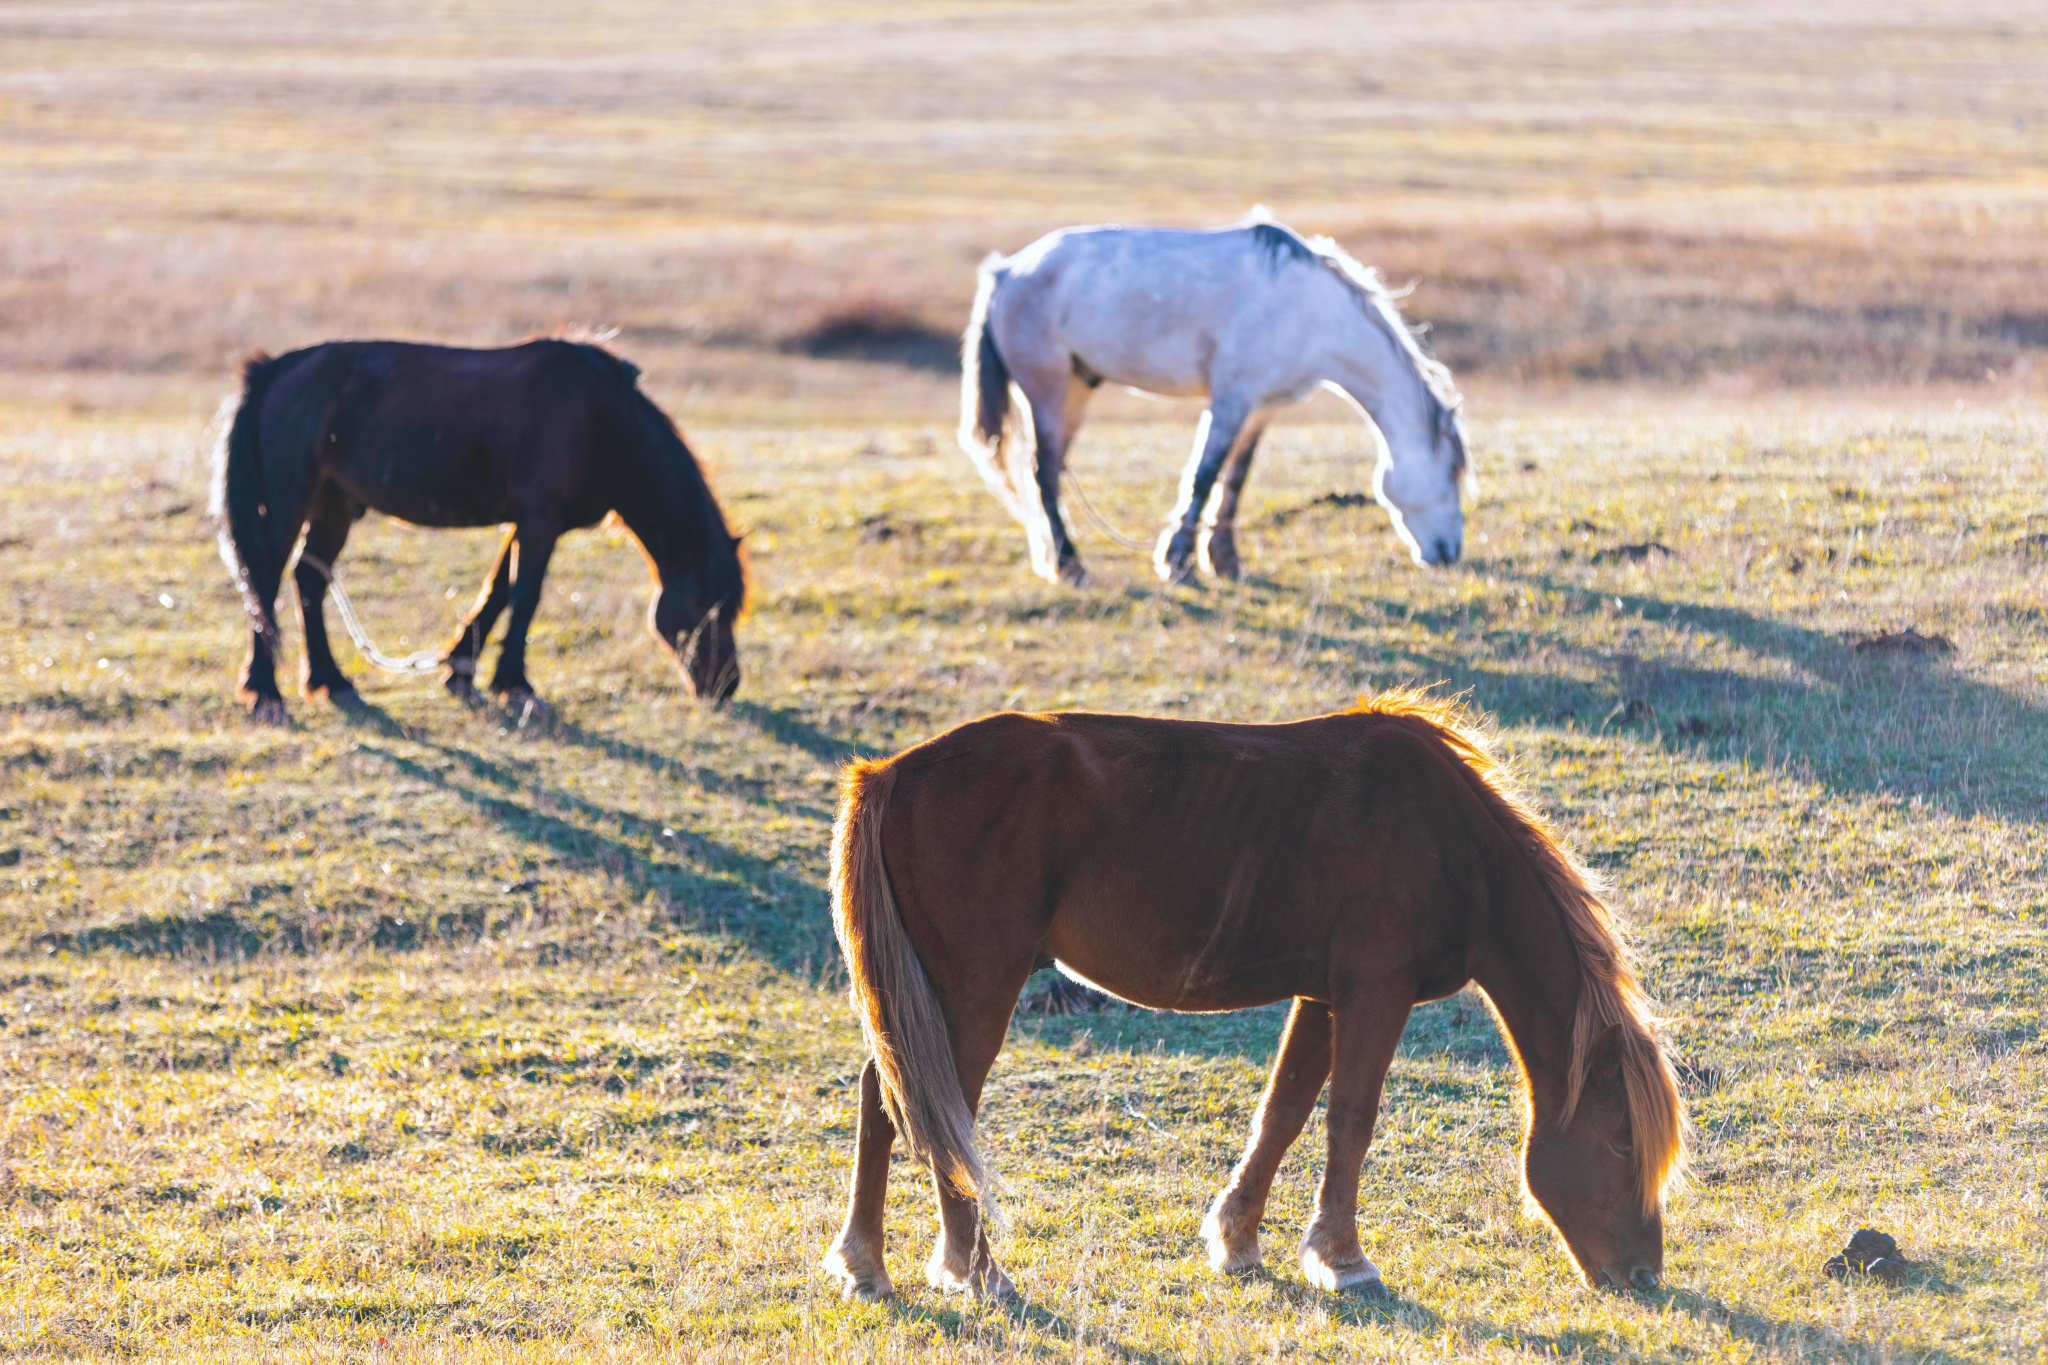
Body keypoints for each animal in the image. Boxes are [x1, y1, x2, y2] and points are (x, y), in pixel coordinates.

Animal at [207, 339, 749, 724]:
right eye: (710, 607)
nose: (726, 685)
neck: (605, 422)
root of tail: (274, 368)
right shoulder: (541, 520)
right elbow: (525, 597)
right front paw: (517, 685)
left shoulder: (528, 522)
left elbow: (498, 592)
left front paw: (461, 670)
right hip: (289, 501)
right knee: (265, 583)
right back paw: (266, 692)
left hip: (333, 505)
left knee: (308, 581)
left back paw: (331, 680)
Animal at [823, 695, 1687, 1301]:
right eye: (1620, 1142)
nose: (1643, 1273)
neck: (1450, 839)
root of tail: (890, 773)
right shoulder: (1376, 989)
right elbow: (1350, 1119)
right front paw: (1344, 1260)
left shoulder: (1325, 995)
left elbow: (1285, 1111)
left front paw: (1238, 1239)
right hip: (974, 990)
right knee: (934, 1108)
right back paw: (975, 1269)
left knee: (882, 1096)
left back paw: (866, 1262)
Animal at [950, 210, 1466, 585]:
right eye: (1450, 476)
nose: (1451, 553)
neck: (1311, 312)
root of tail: (1007, 271)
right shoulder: (1231, 401)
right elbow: (1204, 475)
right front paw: (1178, 562)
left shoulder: (1261, 408)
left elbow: (1234, 480)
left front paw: (1224, 560)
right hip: (1049, 390)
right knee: (1044, 472)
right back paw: (1071, 565)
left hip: (1077, 387)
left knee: (1049, 469)